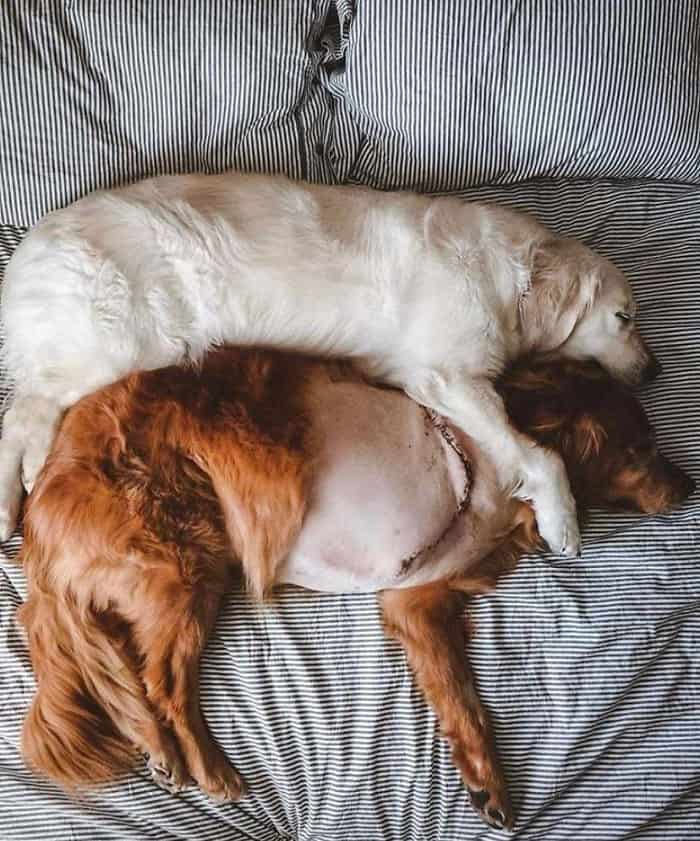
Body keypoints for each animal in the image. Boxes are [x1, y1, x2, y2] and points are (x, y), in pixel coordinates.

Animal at [0, 173, 656, 548]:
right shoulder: (446, 375)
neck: (509, 275)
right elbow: (541, 455)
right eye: (624, 317)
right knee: (23, 411)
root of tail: (28, 247)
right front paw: (562, 520)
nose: (654, 369)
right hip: (124, 337)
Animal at [17, 348, 696, 828]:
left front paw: (486, 780)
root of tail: (39, 520)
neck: (493, 479)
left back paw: (158, 744)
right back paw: (201, 763)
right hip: (185, 561)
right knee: (159, 682)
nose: (689, 487)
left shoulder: (417, 599)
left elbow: (463, 699)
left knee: (121, 672)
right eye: (641, 449)